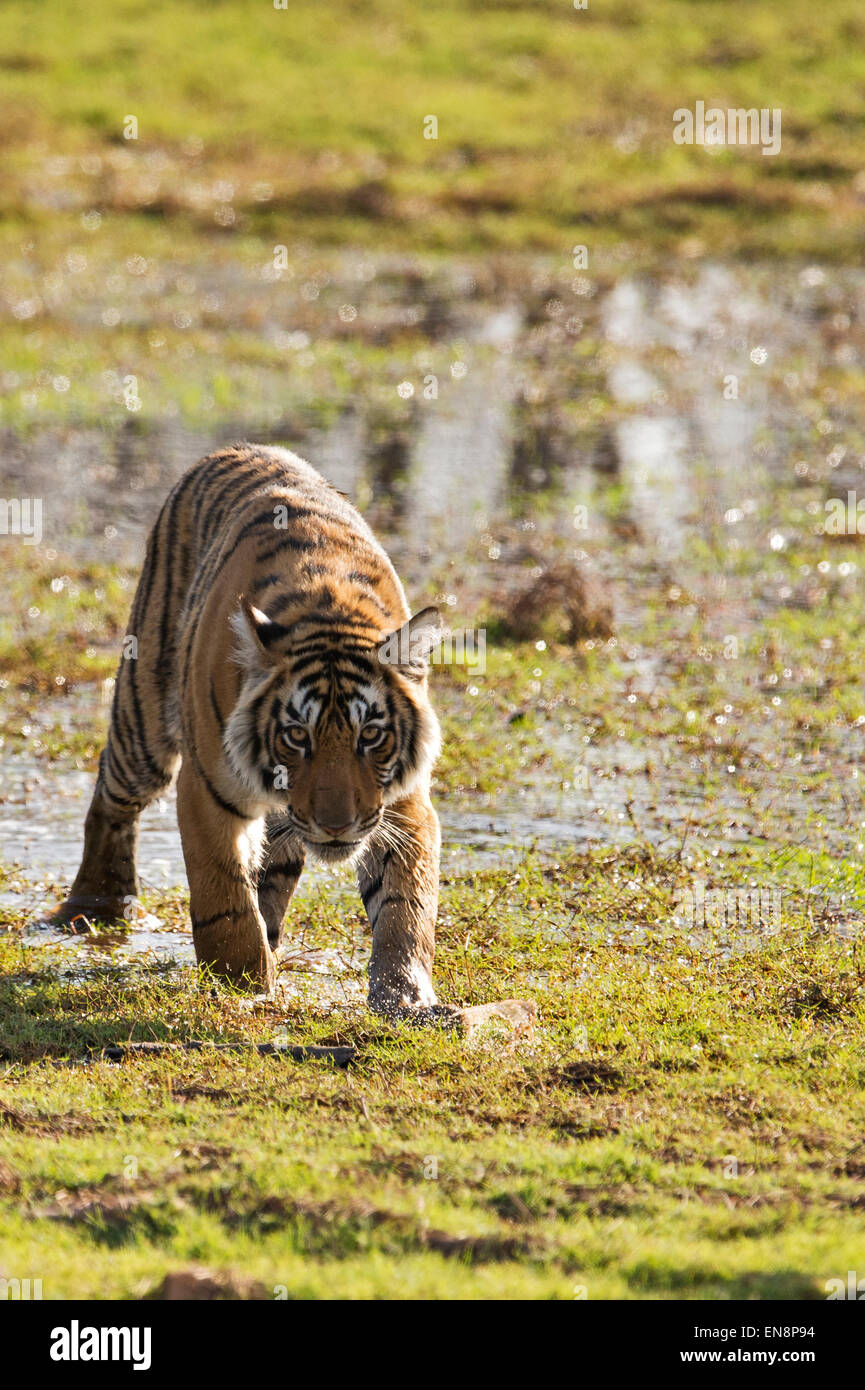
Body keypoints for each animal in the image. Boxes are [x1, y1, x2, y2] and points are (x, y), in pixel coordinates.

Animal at [55, 444, 536, 1034]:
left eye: (370, 735)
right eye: (296, 735)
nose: (336, 826)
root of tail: (234, 447)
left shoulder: (401, 805)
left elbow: (405, 910)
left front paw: (405, 998)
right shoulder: (207, 790)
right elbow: (225, 901)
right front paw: (245, 988)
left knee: (272, 873)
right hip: (144, 721)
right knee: (113, 797)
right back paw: (97, 904)